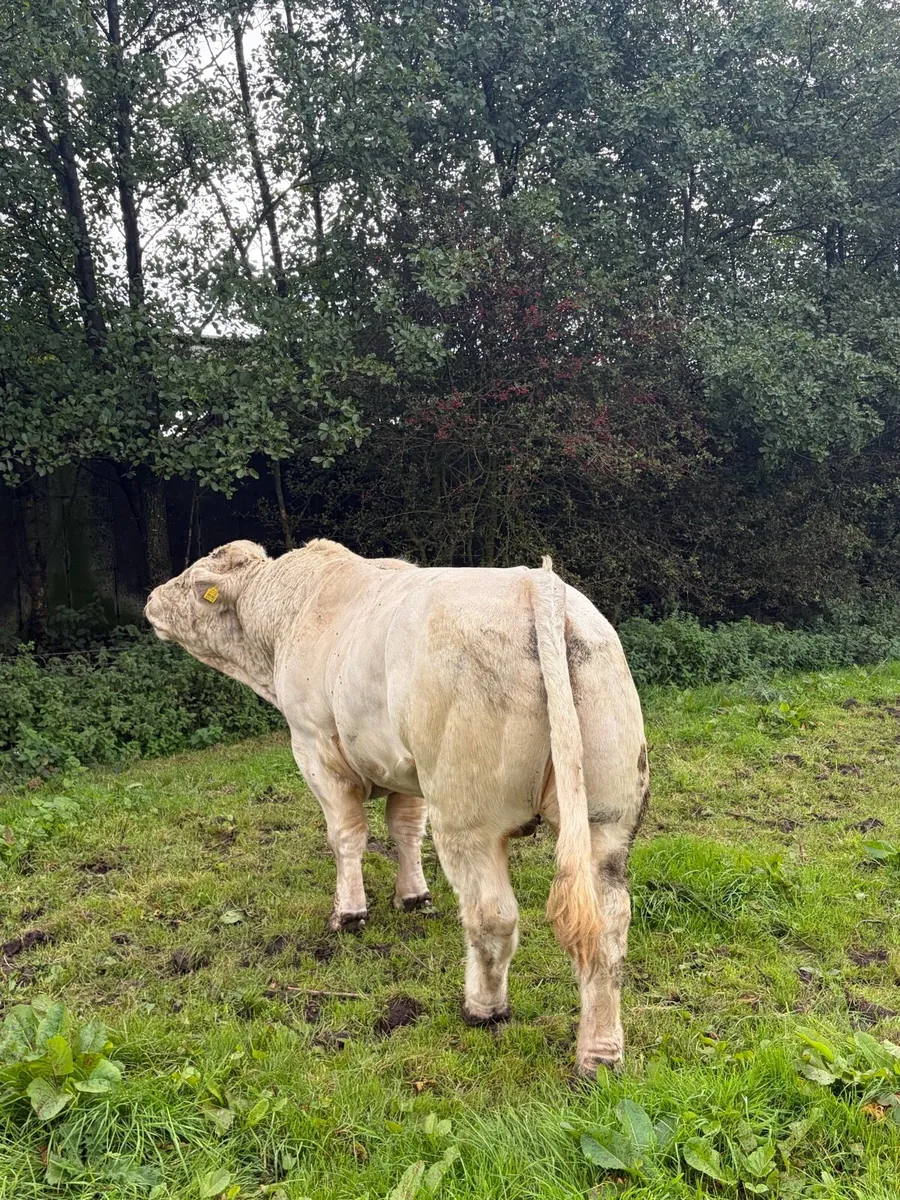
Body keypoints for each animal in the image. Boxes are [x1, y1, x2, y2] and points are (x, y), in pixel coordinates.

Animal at [144, 538, 648, 1074]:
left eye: (197, 583)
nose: (152, 599)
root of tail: (536, 583)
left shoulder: (315, 748)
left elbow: (346, 836)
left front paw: (348, 913)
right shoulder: (405, 769)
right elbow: (405, 828)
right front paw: (413, 896)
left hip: (467, 816)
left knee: (493, 917)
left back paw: (484, 1008)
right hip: (606, 817)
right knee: (609, 925)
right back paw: (600, 1052)